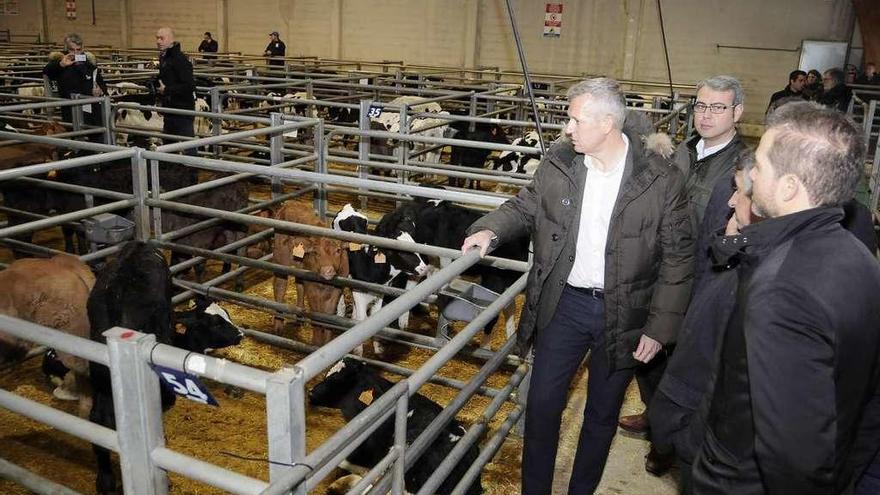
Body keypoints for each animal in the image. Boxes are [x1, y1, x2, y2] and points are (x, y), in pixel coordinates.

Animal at [274, 203, 348, 346]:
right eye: (316, 252)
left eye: (338, 250)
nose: (327, 270)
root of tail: (288, 205)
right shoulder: (312, 287)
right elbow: (316, 313)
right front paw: (316, 343)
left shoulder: (337, 289)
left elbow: (328, 314)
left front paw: (327, 341)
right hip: (281, 259)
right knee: (280, 286)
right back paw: (278, 325)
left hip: (299, 266)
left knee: (299, 285)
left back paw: (299, 317)